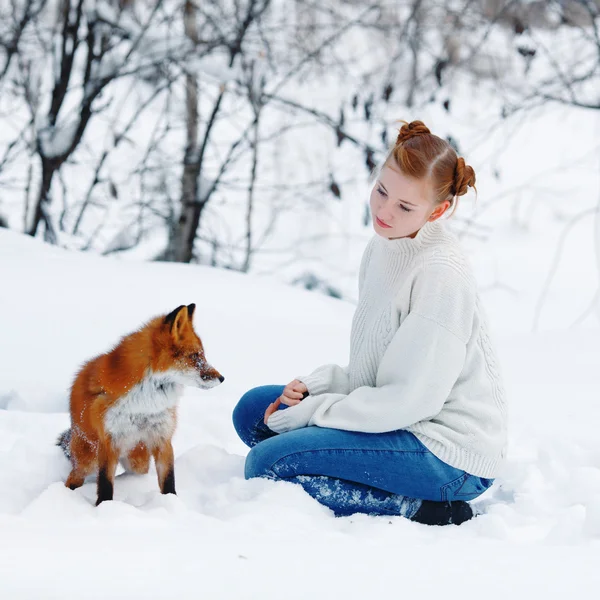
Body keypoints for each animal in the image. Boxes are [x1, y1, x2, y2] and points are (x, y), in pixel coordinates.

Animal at [56, 304, 223, 506]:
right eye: (195, 356)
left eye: (202, 355)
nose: (222, 378)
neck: (145, 403)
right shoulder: (109, 441)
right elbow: (105, 484)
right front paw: (104, 507)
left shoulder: (162, 438)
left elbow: (168, 480)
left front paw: (171, 504)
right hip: (88, 461)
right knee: (75, 477)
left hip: (138, 461)